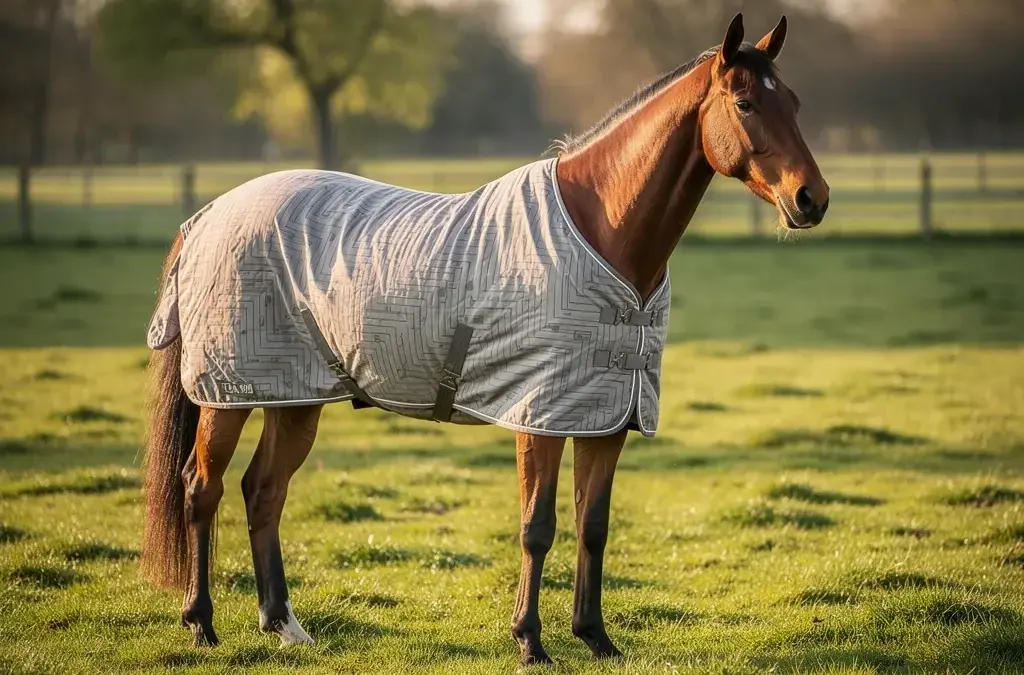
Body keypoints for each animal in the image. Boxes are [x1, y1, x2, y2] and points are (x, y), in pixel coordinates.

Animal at [140, 13, 828, 664]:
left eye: (795, 101)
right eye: (745, 103)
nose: (811, 199)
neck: (601, 233)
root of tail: (207, 214)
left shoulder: (605, 415)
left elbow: (593, 526)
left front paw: (597, 638)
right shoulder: (540, 415)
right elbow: (537, 527)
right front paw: (530, 642)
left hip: (294, 396)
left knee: (263, 491)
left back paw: (284, 625)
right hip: (228, 394)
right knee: (201, 489)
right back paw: (201, 625)